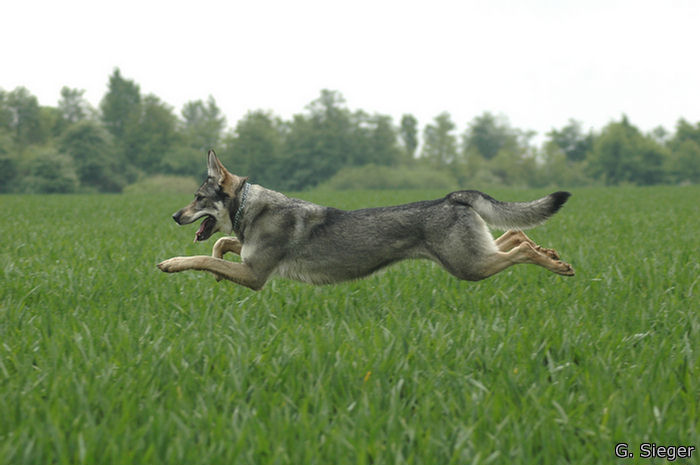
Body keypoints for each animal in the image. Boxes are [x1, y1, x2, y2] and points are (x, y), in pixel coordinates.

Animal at [159, 150, 576, 288]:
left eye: (197, 198)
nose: (174, 215)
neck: (251, 208)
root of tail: (451, 197)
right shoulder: (247, 262)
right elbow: (219, 245)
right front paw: (216, 270)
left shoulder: (255, 277)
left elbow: (199, 257)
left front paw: (171, 263)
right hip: (474, 257)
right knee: (517, 234)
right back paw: (551, 253)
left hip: (469, 266)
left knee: (520, 249)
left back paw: (557, 264)